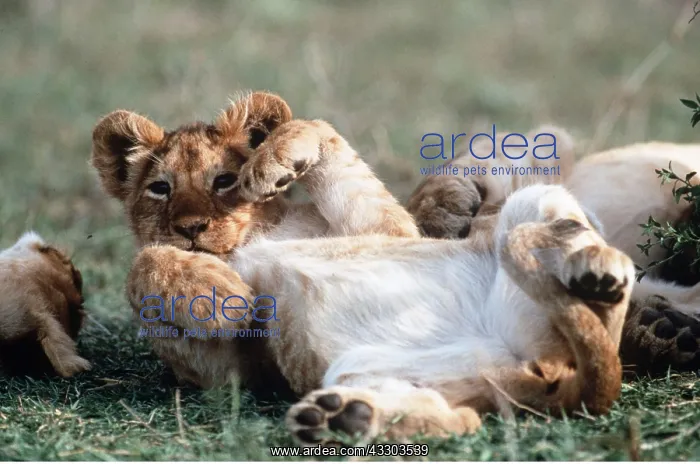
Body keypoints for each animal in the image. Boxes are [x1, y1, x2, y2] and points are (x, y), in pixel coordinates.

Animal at [90, 91, 634, 444]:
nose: (190, 228)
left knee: (593, 267)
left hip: (533, 205)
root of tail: (542, 368)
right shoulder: (229, 371)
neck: (246, 238)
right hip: (375, 372)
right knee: (461, 421)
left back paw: (596, 269)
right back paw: (343, 419)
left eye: (223, 180)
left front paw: (271, 164)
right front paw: (220, 294)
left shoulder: (393, 231)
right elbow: (145, 261)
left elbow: (317, 129)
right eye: (160, 188)